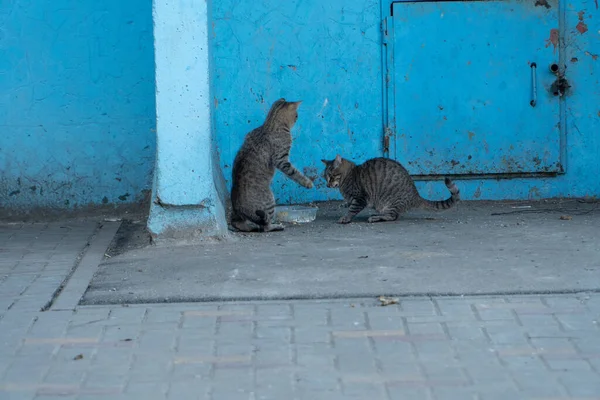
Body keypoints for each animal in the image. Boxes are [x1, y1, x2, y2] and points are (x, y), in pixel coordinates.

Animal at [231, 98, 314, 233]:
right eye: (296, 115)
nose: (297, 118)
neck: (269, 124)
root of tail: (238, 209)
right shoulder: (282, 160)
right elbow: (295, 173)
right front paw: (307, 182)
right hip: (269, 200)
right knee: (265, 226)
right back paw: (276, 226)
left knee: (240, 224)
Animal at [324, 155, 460, 223]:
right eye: (325, 177)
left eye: (331, 176)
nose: (327, 185)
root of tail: (416, 195)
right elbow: (348, 203)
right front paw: (344, 204)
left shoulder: (360, 198)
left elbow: (352, 210)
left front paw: (345, 218)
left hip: (391, 203)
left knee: (392, 216)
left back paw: (375, 217)